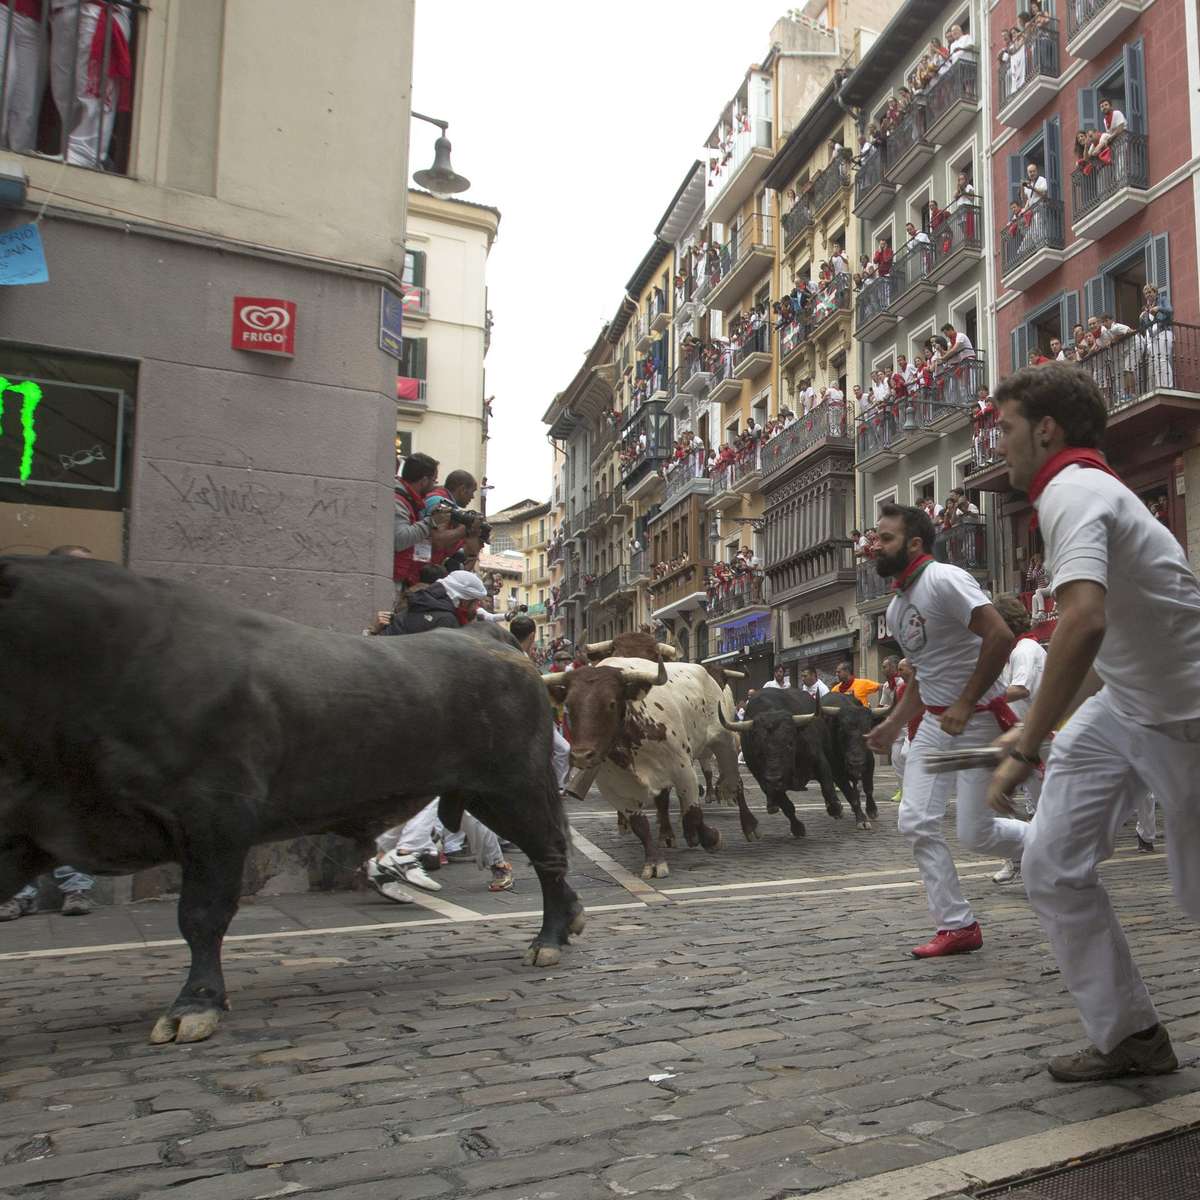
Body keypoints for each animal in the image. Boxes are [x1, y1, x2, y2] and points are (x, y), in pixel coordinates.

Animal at [0, 559, 583, 1041]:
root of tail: (495, 641)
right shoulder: (28, 827)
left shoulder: (216, 816)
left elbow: (202, 914)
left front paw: (195, 1005)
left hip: (511, 787)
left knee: (551, 853)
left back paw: (549, 937)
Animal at [549, 662, 744, 878]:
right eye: (568, 706)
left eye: (611, 703)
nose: (582, 755)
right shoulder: (615, 787)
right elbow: (640, 825)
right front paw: (654, 862)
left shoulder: (683, 769)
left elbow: (693, 812)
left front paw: (710, 838)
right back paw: (668, 835)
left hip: (724, 741)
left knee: (732, 779)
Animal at [724, 691, 888, 830]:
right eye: (841, 730)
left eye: (867, 729)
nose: (856, 762)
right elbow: (787, 805)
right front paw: (798, 828)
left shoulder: (856, 763)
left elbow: (863, 788)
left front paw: (865, 812)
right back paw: (772, 805)